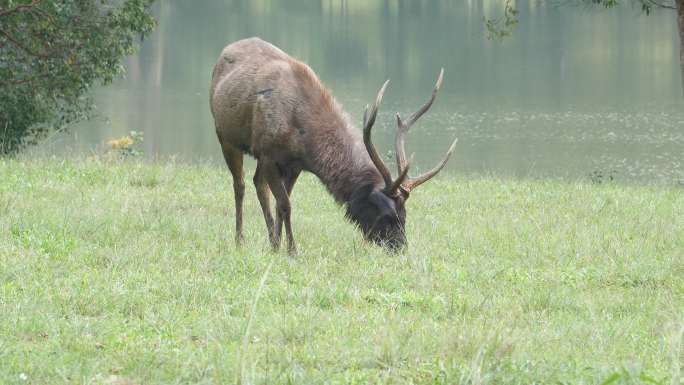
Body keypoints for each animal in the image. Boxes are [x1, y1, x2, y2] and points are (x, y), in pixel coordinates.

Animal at [208, 37, 454, 254]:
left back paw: (269, 240)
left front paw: (277, 246)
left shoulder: (293, 164)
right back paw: (240, 240)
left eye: (404, 215)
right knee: (240, 185)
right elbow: (286, 205)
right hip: (225, 136)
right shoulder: (268, 152)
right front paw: (292, 250)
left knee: (258, 183)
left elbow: (281, 204)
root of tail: (224, 52)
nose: (401, 247)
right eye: (386, 215)